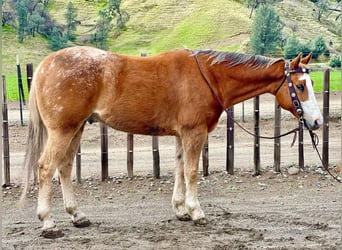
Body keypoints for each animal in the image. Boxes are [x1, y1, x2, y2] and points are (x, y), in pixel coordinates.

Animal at [20, 46, 324, 236]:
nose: (318, 122)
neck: (209, 77)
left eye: (309, 84)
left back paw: (77, 215)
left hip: (77, 128)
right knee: (46, 168)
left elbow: (179, 170)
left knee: (65, 167)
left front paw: (181, 210)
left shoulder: (182, 135)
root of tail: (46, 65)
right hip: (63, 130)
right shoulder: (194, 133)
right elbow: (191, 172)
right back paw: (48, 222)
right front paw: (196, 211)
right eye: (299, 86)